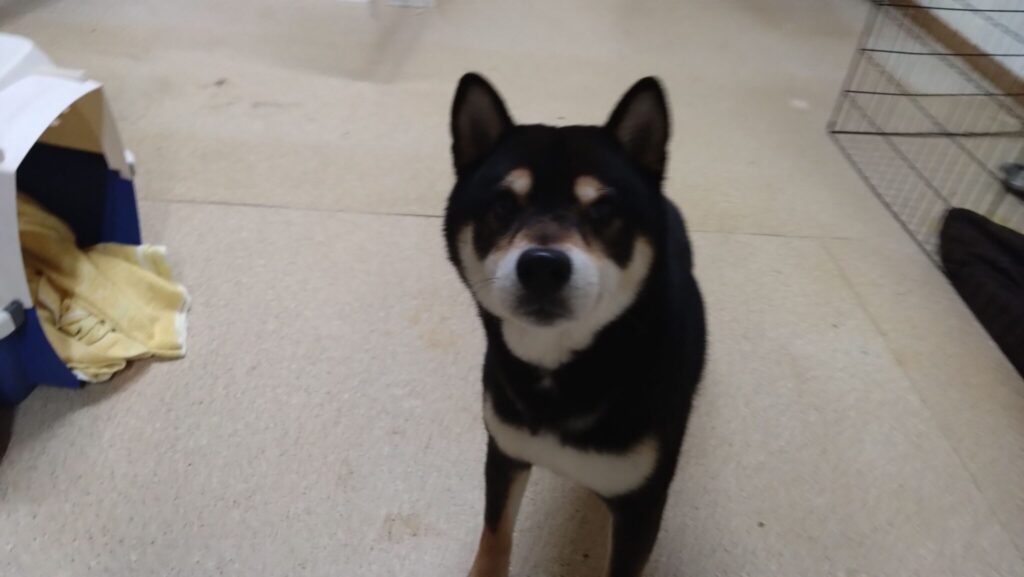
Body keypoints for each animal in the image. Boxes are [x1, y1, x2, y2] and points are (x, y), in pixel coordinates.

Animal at [443, 73, 707, 577]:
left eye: (602, 210)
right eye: (503, 205)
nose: (543, 265)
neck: (561, 372)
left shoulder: (642, 505)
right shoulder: (505, 452)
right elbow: (495, 536)